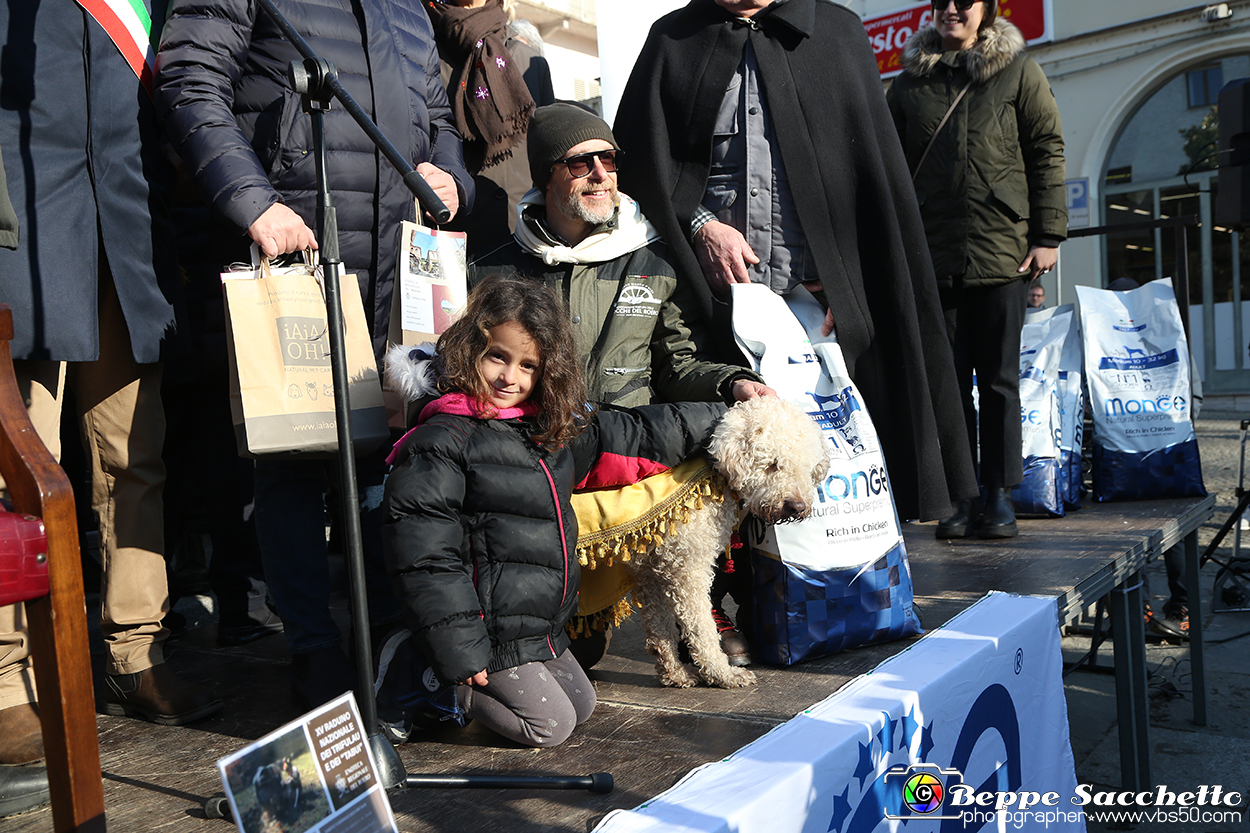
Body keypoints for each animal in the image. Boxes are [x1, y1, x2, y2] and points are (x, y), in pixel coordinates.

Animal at [630, 395, 825, 685]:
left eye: (806, 467)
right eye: (772, 464)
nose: (797, 506)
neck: (713, 476)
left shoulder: (651, 567)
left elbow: (661, 628)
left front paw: (675, 673)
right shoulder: (687, 567)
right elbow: (700, 627)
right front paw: (721, 673)